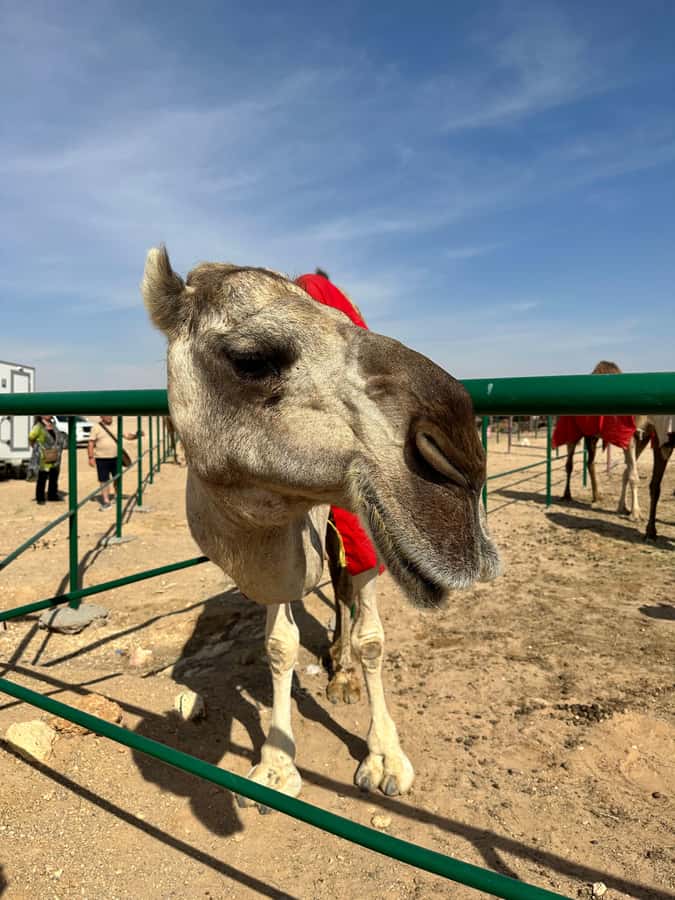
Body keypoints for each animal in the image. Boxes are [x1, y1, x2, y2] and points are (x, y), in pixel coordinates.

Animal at [142, 246, 500, 809]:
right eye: (251, 359)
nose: (462, 456)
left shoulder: (367, 521)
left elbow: (372, 635)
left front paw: (384, 758)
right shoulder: (272, 548)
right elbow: (279, 644)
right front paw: (274, 766)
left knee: (345, 584)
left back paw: (344, 669)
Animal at [553, 361, 640, 519]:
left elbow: (629, 470)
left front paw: (627, 509)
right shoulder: (626, 435)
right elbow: (631, 472)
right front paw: (635, 512)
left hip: (592, 436)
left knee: (590, 462)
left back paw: (596, 496)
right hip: (572, 432)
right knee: (569, 463)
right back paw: (567, 495)